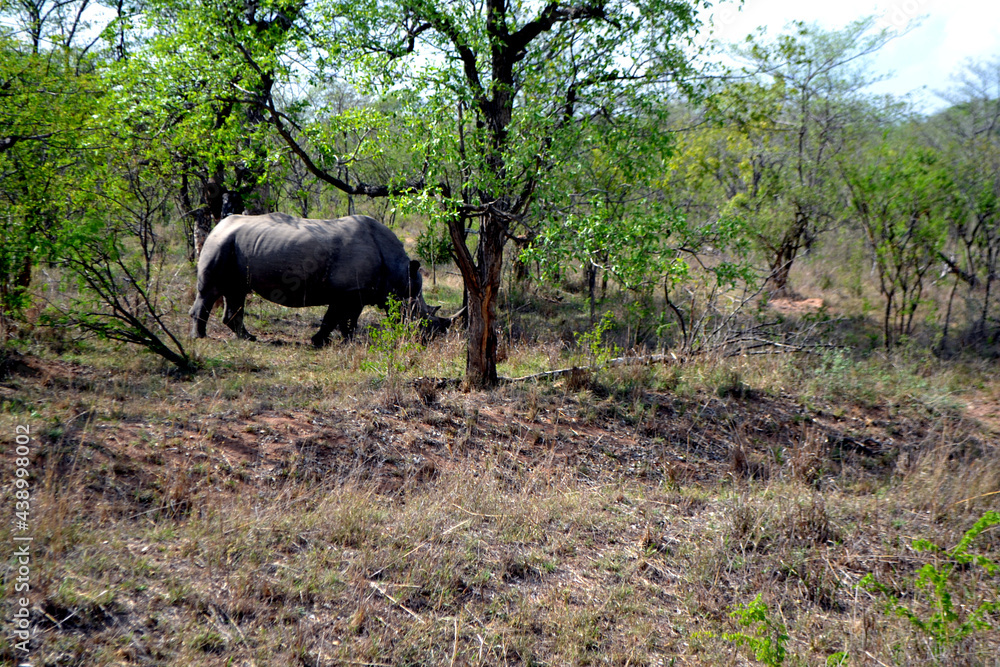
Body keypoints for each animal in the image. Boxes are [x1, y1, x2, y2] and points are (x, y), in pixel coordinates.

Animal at [189, 212, 454, 346]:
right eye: (419, 315)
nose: (425, 340)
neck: (398, 272)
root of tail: (218, 225)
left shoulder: (354, 291)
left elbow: (344, 318)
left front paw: (339, 341)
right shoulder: (349, 290)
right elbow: (338, 318)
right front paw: (330, 341)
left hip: (234, 246)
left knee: (236, 291)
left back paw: (249, 338)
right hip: (220, 244)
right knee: (210, 291)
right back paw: (200, 337)